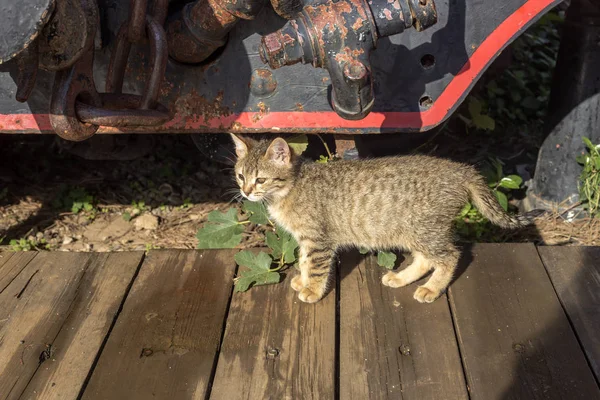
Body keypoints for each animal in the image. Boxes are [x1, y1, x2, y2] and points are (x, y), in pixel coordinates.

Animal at [231, 134, 536, 304]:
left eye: (261, 180)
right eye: (240, 175)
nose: (245, 192)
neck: (290, 188)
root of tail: (462, 169)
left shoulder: (318, 240)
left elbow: (316, 267)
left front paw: (313, 291)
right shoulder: (307, 241)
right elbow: (305, 262)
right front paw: (303, 280)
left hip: (425, 230)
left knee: (450, 256)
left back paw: (431, 289)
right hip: (412, 231)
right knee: (426, 259)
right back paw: (401, 278)